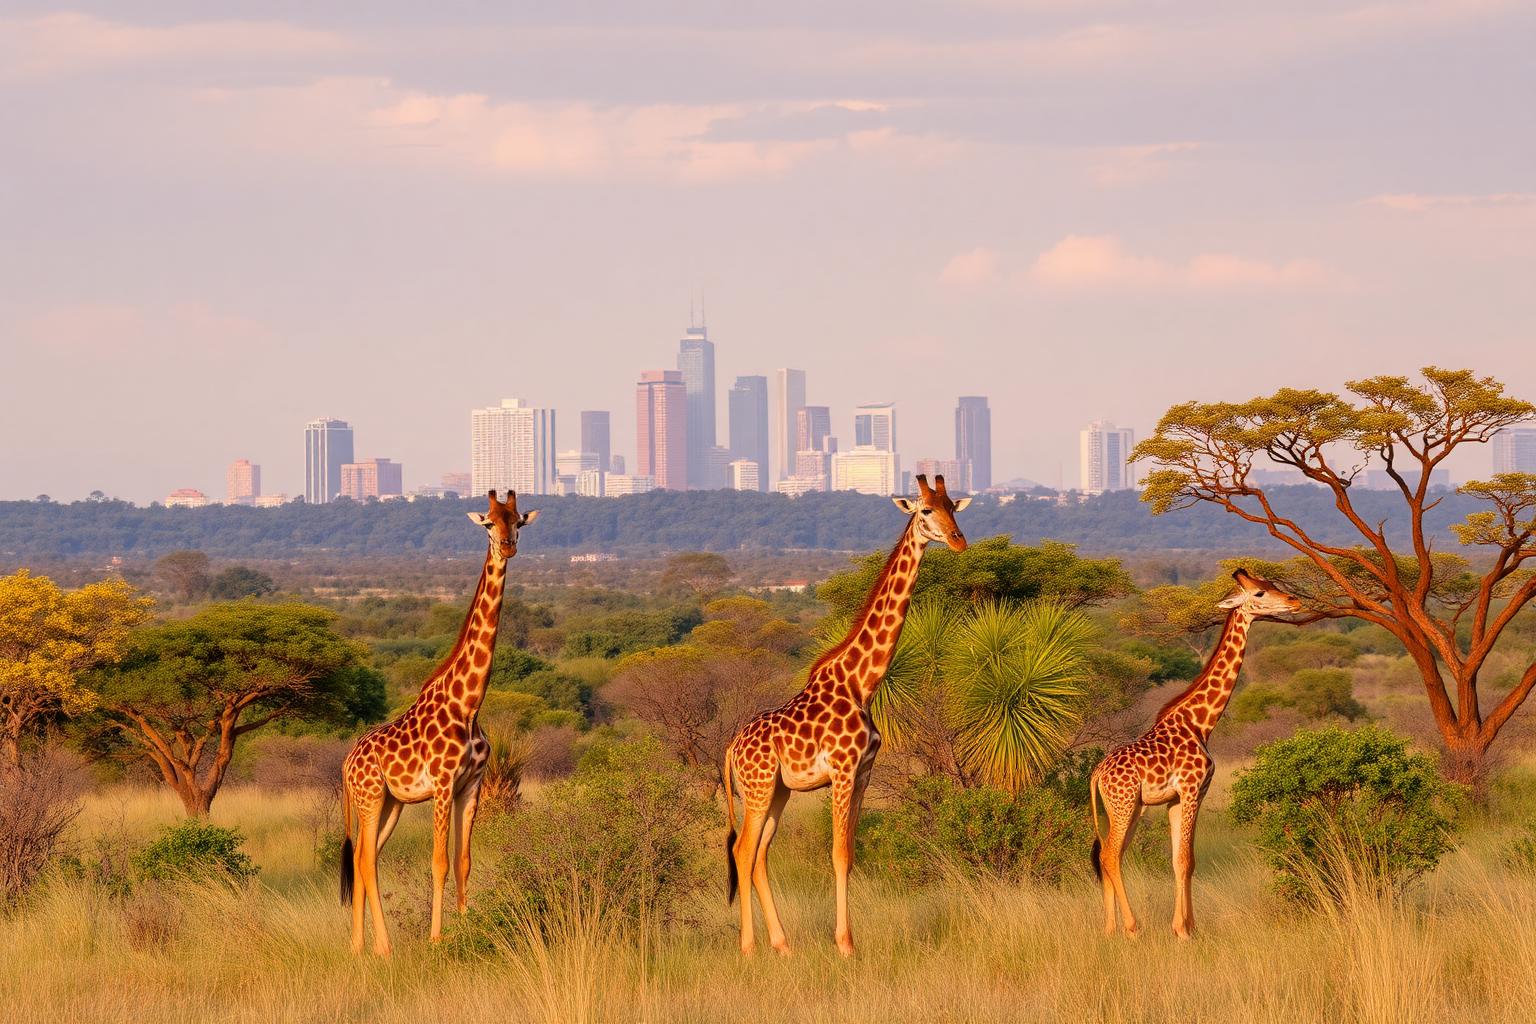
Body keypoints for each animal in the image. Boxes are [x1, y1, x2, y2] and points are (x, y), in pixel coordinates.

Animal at [339, 490, 538, 956]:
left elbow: (464, 861)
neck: (469, 705)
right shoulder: (443, 784)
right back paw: (383, 947)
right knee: (367, 861)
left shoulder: (472, 784)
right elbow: (439, 862)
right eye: (489, 523)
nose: (507, 547)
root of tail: (345, 762)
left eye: (518, 521)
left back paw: (357, 946)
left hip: (389, 802)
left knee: (362, 857)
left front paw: (467, 931)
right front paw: (436, 938)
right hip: (370, 798)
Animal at [723, 473, 971, 957]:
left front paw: (846, 941)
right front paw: (845, 945)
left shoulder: (863, 772)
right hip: (758, 790)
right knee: (743, 851)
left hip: (778, 791)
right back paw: (748, 948)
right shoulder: (841, 769)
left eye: (953, 505)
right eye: (925, 511)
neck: (863, 684)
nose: (958, 541)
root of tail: (730, 748)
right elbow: (837, 854)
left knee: (759, 855)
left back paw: (783, 945)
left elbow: (851, 854)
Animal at [1089, 568, 1302, 940]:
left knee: (1107, 854)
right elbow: (1184, 859)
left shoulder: (1183, 797)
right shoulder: (1190, 790)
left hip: (1124, 808)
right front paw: (1183, 931)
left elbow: (1183, 861)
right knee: (1112, 855)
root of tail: (1098, 773)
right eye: (1260, 593)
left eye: (1272, 585)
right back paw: (1131, 927)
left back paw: (1110, 929)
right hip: (1124, 803)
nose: (1295, 601)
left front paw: (1189, 927)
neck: (1202, 723)